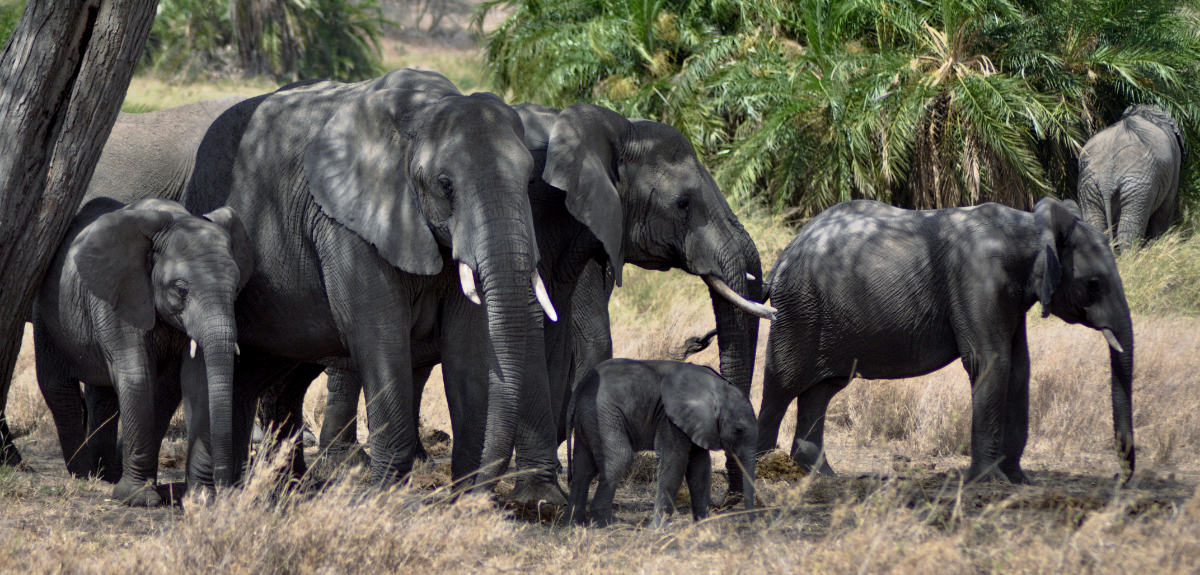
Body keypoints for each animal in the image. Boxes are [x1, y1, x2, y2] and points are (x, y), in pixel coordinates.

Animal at [33, 196, 253, 504]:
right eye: (181, 289)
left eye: (235, 290)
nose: (225, 490)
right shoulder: (120, 295)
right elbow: (137, 376)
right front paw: (138, 499)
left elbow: (199, 381)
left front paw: (199, 499)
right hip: (47, 315)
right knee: (58, 389)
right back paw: (84, 475)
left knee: (104, 396)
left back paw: (106, 475)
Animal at [177, 68, 552, 489]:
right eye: (445, 184)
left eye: (529, 181)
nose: (474, 488)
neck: (423, 110)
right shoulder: (345, 225)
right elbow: (380, 334)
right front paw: (389, 493)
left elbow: (466, 342)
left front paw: (462, 497)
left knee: (259, 377)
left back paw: (276, 487)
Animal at [564, 362, 753, 528]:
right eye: (738, 430)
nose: (751, 522)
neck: (712, 386)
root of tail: (578, 391)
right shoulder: (670, 418)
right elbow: (675, 460)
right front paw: (659, 529)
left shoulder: (699, 424)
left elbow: (700, 467)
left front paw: (703, 526)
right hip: (603, 415)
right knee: (620, 458)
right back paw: (610, 525)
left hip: (589, 419)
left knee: (583, 469)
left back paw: (576, 524)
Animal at [758, 198, 1132, 484]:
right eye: (1094, 284)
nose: (1121, 479)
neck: (1030, 227)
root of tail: (782, 256)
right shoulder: (977, 279)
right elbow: (990, 362)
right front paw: (987, 482)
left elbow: (1018, 368)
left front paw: (1019, 481)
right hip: (798, 309)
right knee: (781, 385)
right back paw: (764, 469)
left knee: (821, 390)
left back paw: (820, 475)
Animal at [1075, 105, 1185, 249]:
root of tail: (1106, 181)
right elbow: (1164, 210)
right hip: (1137, 189)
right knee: (1128, 230)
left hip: (1089, 186)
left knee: (1096, 226)